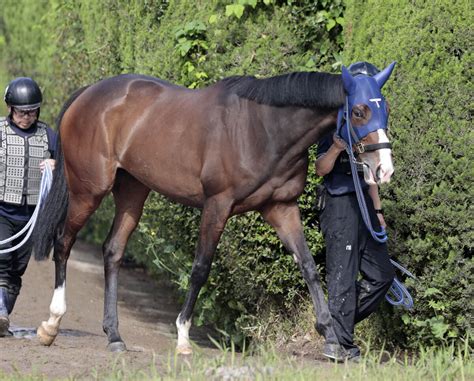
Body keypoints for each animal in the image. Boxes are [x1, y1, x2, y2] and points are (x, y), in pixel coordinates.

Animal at [32, 64, 396, 354]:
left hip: (133, 191)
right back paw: (51, 324)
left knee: (113, 251)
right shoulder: (217, 205)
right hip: (88, 190)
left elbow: (308, 266)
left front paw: (332, 337)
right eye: (359, 111)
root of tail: (89, 94)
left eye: (386, 109)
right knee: (63, 242)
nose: (384, 169)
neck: (264, 129)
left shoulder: (281, 208)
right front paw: (182, 336)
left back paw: (114, 336)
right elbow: (200, 268)